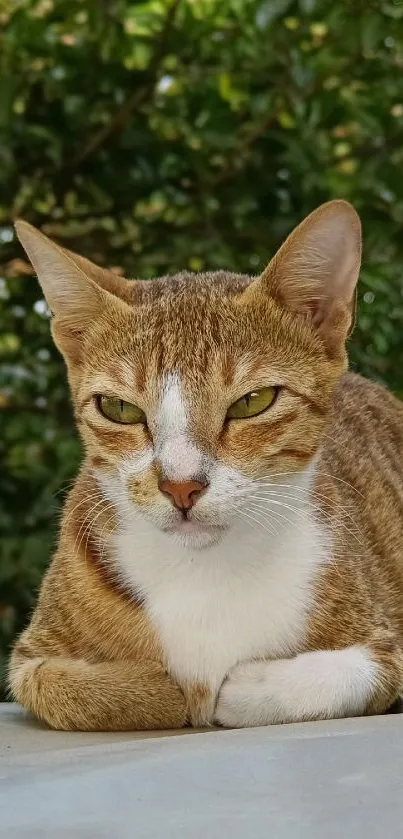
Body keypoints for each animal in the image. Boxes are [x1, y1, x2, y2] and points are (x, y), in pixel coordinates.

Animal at [7, 200, 403, 732]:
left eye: (253, 401)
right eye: (119, 409)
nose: (180, 486)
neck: (204, 570)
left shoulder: (385, 643)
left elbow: (341, 673)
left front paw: (238, 688)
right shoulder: (30, 656)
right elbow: (64, 687)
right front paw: (165, 691)